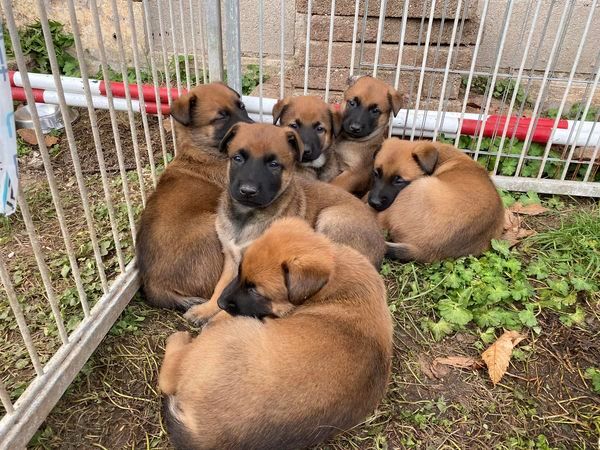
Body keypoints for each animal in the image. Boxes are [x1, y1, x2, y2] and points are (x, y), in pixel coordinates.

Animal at [159, 218, 394, 450]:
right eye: (240, 272)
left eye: (255, 291)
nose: (221, 303)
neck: (333, 279)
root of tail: (204, 435)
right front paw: (205, 309)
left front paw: (212, 315)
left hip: (231, 335)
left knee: (168, 377)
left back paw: (180, 338)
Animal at [183, 123, 386, 326]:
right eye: (237, 158)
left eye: (274, 165)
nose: (248, 191)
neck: (246, 217)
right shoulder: (231, 258)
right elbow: (221, 286)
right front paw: (205, 309)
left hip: (331, 217)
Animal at [368, 139, 504, 262]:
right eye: (376, 173)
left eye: (399, 180)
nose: (374, 202)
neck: (440, 157)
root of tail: (424, 251)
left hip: (416, 188)